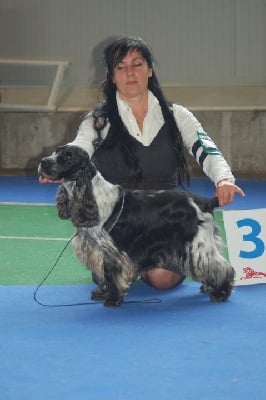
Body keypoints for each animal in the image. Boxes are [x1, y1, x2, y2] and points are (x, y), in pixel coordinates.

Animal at [38, 146, 235, 306]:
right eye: (55, 152)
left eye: (68, 156)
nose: (43, 162)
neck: (90, 195)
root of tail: (204, 201)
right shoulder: (97, 250)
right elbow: (103, 275)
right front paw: (102, 293)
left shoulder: (113, 252)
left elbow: (112, 275)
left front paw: (112, 299)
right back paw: (210, 287)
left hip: (197, 245)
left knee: (221, 266)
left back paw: (221, 292)